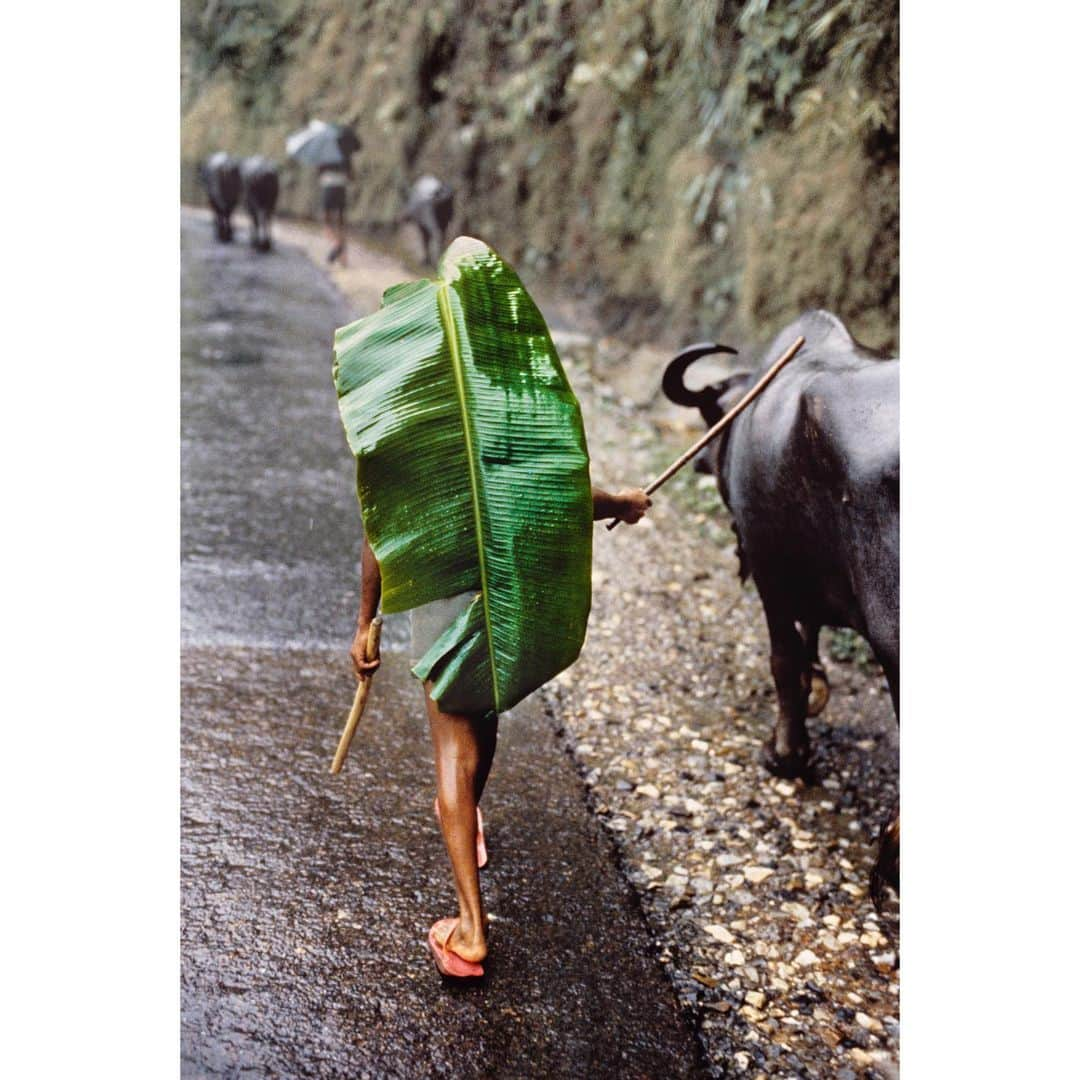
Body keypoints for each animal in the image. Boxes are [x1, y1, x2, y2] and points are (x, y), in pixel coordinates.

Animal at [660, 308, 898, 898]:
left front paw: (786, 753)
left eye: (714, 415)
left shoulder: (769, 573)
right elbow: (809, 638)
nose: (702, 463)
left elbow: (785, 660)